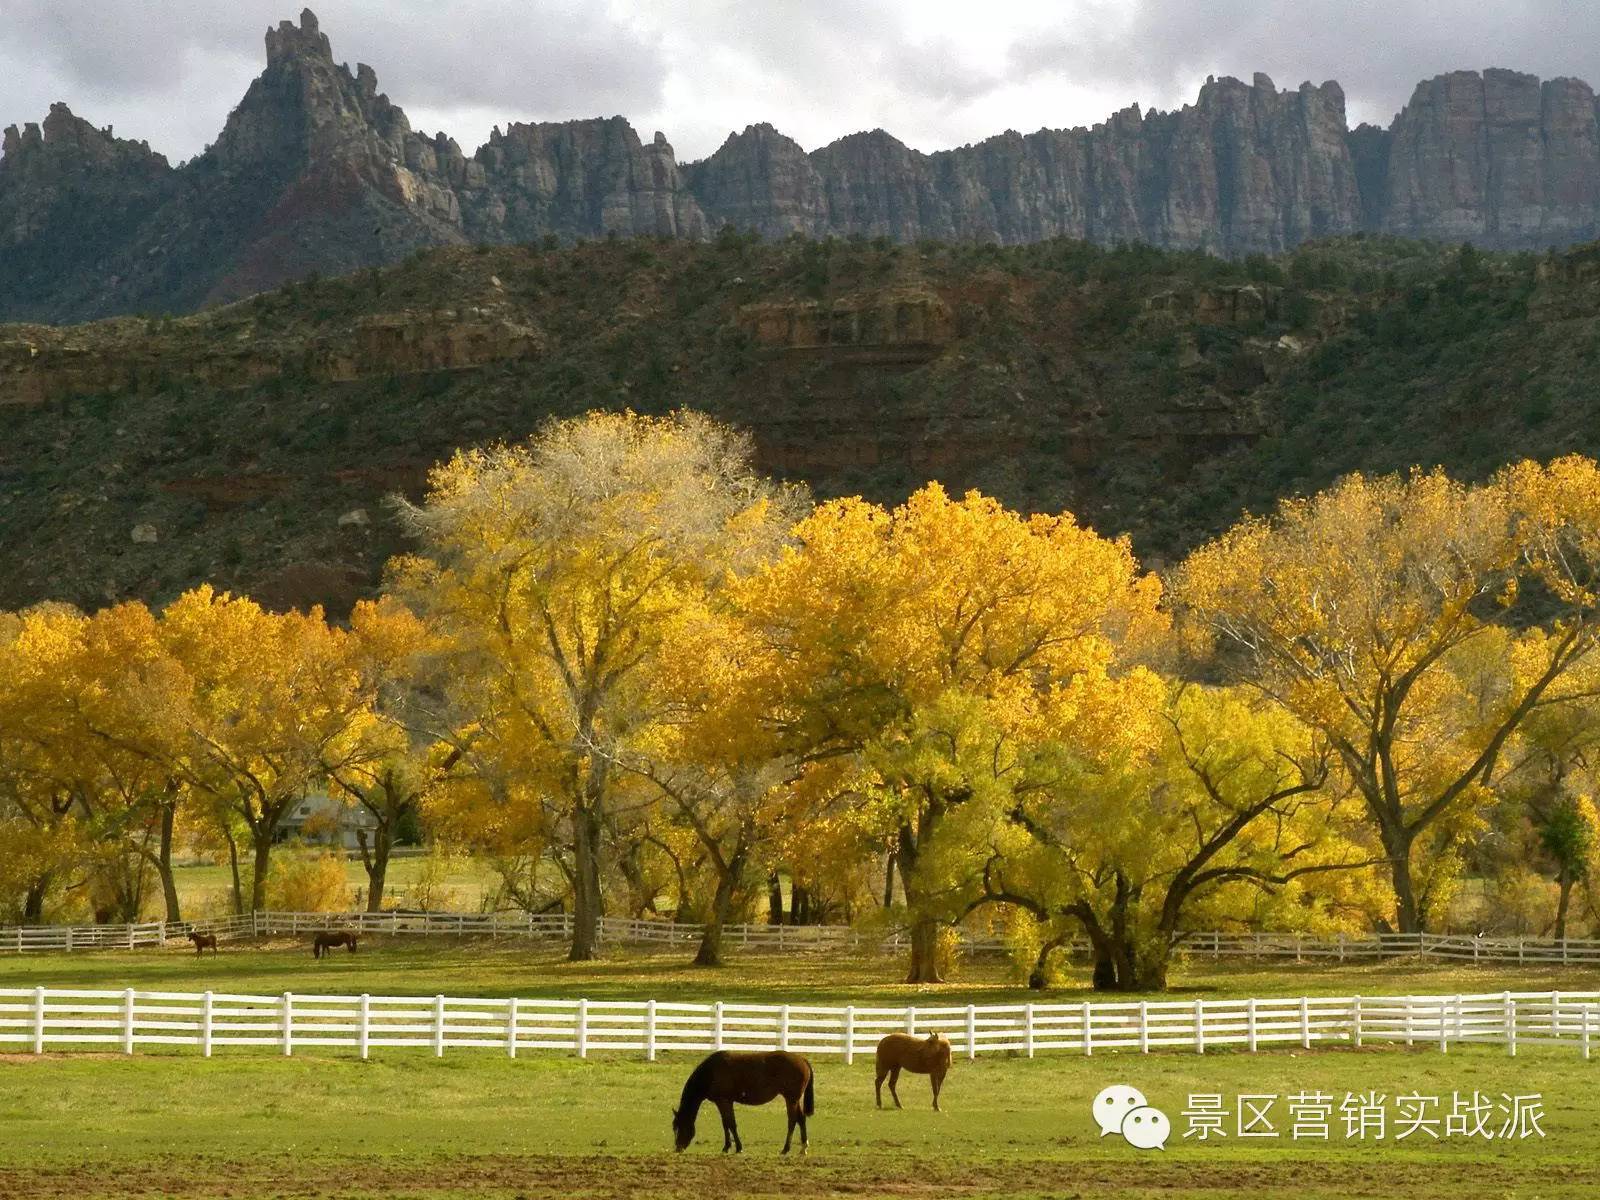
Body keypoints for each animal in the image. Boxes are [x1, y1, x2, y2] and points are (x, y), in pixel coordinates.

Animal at [668, 1049, 812, 1158]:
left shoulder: (724, 1101)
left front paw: (738, 1148)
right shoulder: (724, 1102)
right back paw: (803, 1148)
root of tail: (802, 1060)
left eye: (679, 1127)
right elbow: (726, 1124)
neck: (711, 1072)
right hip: (794, 1100)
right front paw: (727, 1147)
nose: (678, 1148)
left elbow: (731, 1124)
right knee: (801, 1119)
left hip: (791, 1099)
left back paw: (785, 1149)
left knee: (792, 1120)